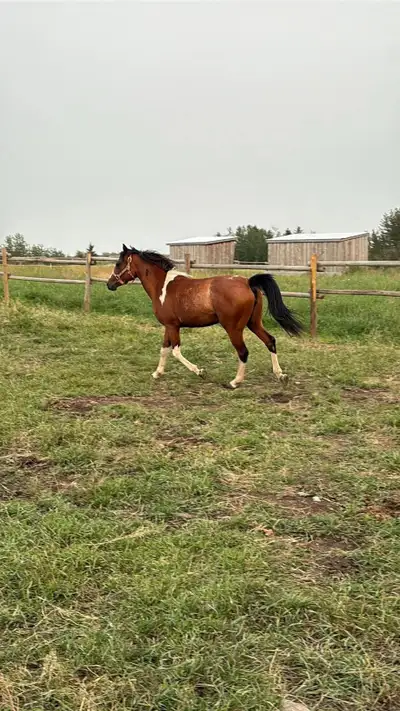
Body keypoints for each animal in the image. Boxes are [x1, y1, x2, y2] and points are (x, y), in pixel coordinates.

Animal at [107, 244, 303, 389]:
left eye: (118, 263)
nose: (110, 284)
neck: (162, 286)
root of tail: (248, 282)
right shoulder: (169, 326)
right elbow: (164, 350)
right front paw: (157, 373)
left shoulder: (172, 326)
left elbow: (175, 351)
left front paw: (199, 372)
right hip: (254, 323)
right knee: (270, 341)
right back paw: (281, 375)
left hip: (234, 328)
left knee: (243, 351)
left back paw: (235, 382)